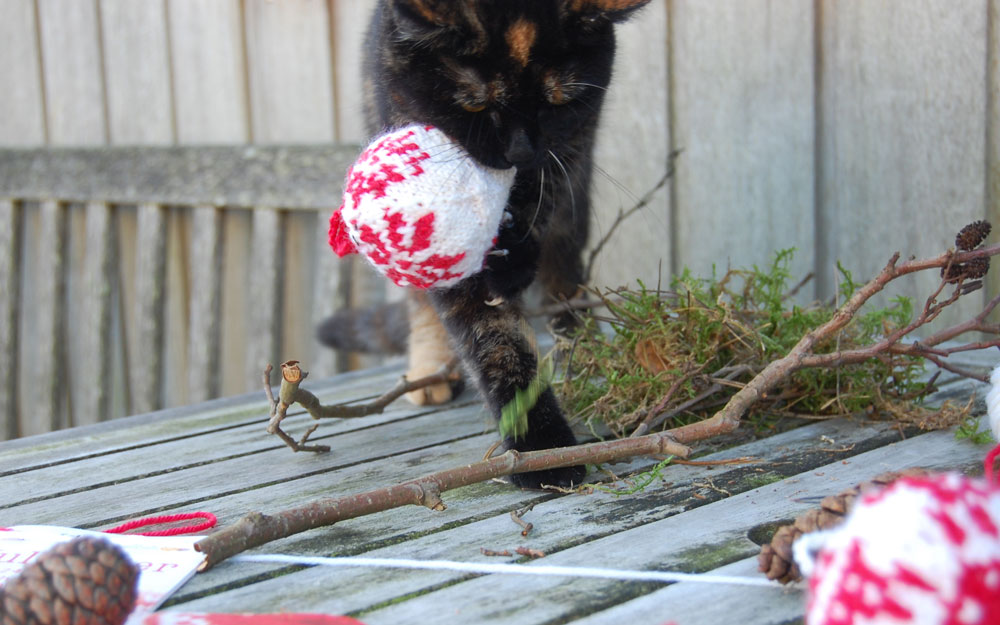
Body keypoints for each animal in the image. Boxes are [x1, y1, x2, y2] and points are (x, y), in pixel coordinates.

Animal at [316, 0, 652, 488]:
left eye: (559, 102)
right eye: (475, 104)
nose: (520, 152)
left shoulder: (567, 151)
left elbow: (539, 207)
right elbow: (494, 340)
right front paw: (543, 450)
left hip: (576, 204)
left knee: (564, 274)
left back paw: (580, 344)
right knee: (419, 305)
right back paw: (431, 368)